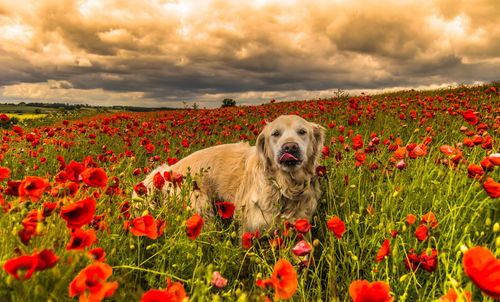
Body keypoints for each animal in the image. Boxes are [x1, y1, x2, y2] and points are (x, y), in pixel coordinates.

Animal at [135, 115, 326, 236]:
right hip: (201, 211)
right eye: (275, 134)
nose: (290, 147)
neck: (285, 186)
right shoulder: (250, 229)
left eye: (302, 132)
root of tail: (167, 170)